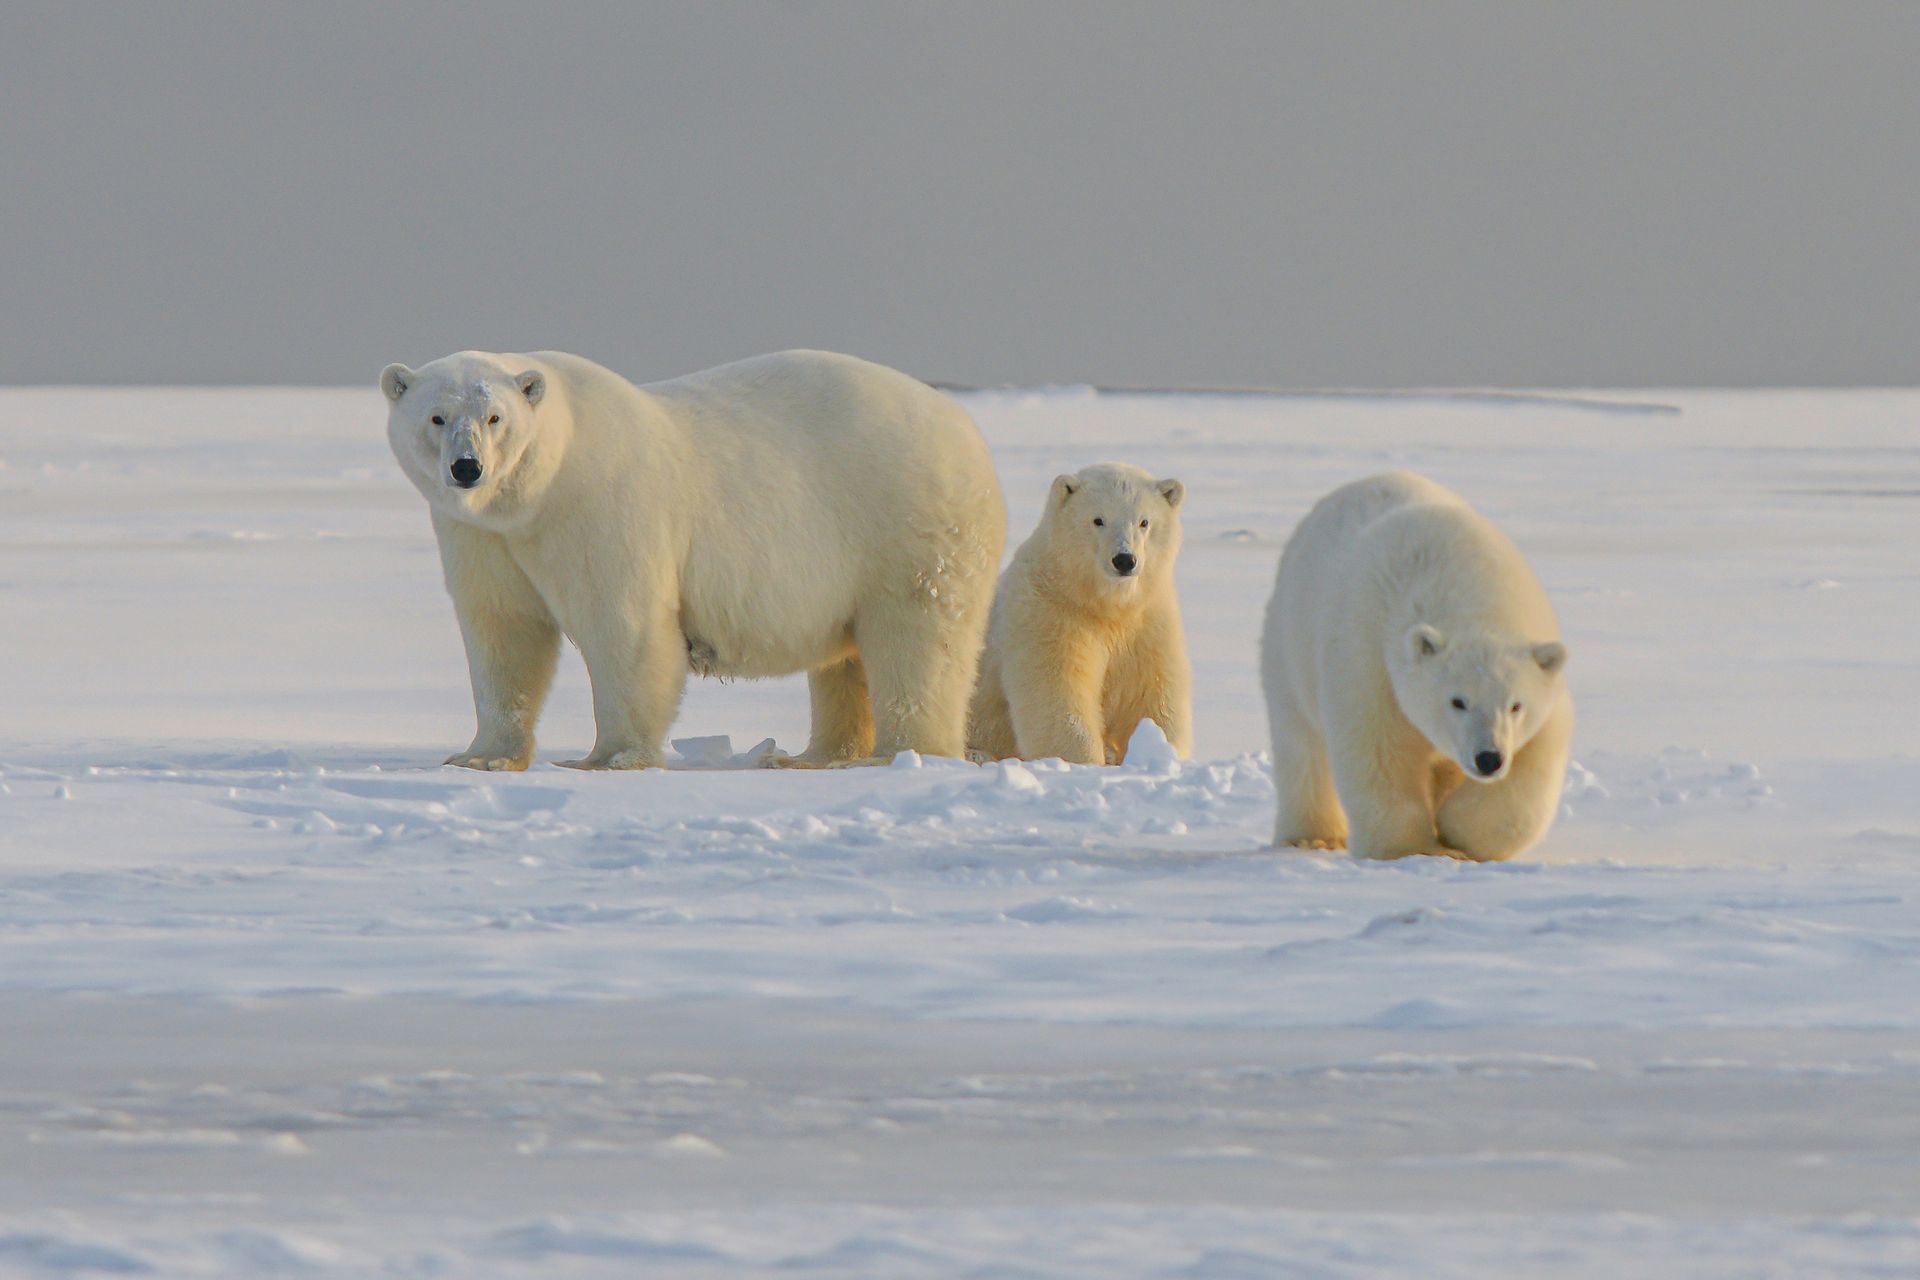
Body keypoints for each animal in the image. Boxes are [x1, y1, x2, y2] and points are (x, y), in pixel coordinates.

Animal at [381, 348, 1006, 771]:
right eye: (436, 417)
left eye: (495, 418)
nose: (467, 468)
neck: (540, 491)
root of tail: (966, 429)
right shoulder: (482, 536)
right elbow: (503, 632)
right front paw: (481, 757)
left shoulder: (603, 507)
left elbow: (624, 627)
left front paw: (610, 758)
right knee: (845, 659)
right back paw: (814, 755)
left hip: (906, 524)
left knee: (917, 640)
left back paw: (902, 753)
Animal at [968, 462, 1192, 765]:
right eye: (1098, 520)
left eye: (1144, 522)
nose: (1124, 560)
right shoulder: (1050, 614)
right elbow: (1058, 692)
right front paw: (1085, 760)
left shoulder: (1147, 621)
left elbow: (1150, 693)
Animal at [1259, 471, 1571, 861]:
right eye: (1457, 701)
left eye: (1516, 705)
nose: (1488, 759)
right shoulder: (1369, 658)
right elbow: (1379, 750)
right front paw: (1411, 848)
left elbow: (1533, 763)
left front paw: (1458, 833)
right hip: (1288, 646)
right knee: (1301, 745)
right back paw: (1311, 837)